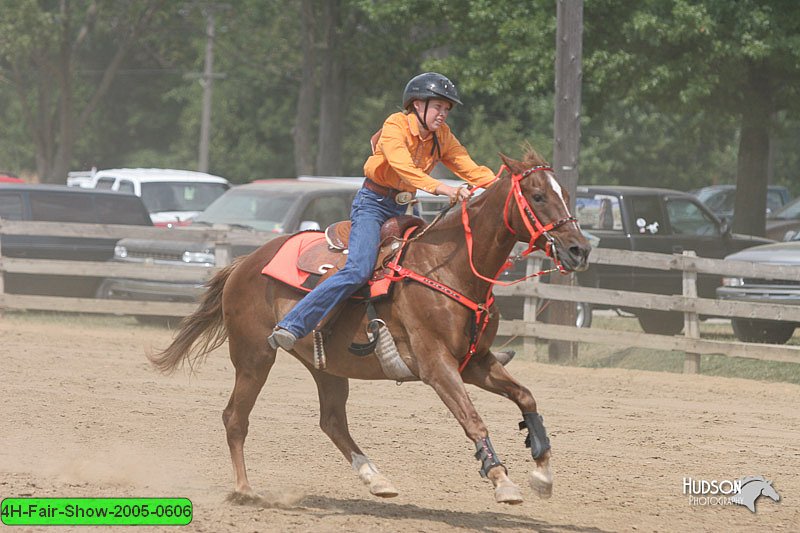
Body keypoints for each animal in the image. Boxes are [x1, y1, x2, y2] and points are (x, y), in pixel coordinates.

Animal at [152, 150, 588, 502]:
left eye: (566, 194)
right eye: (538, 196)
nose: (579, 249)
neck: (449, 267)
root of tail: (243, 263)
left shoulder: (475, 362)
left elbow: (527, 398)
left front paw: (542, 473)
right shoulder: (436, 366)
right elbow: (472, 418)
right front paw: (501, 480)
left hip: (326, 366)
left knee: (331, 420)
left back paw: (376, 479)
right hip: (253, 357)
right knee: (235, 418)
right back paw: (245, 489)